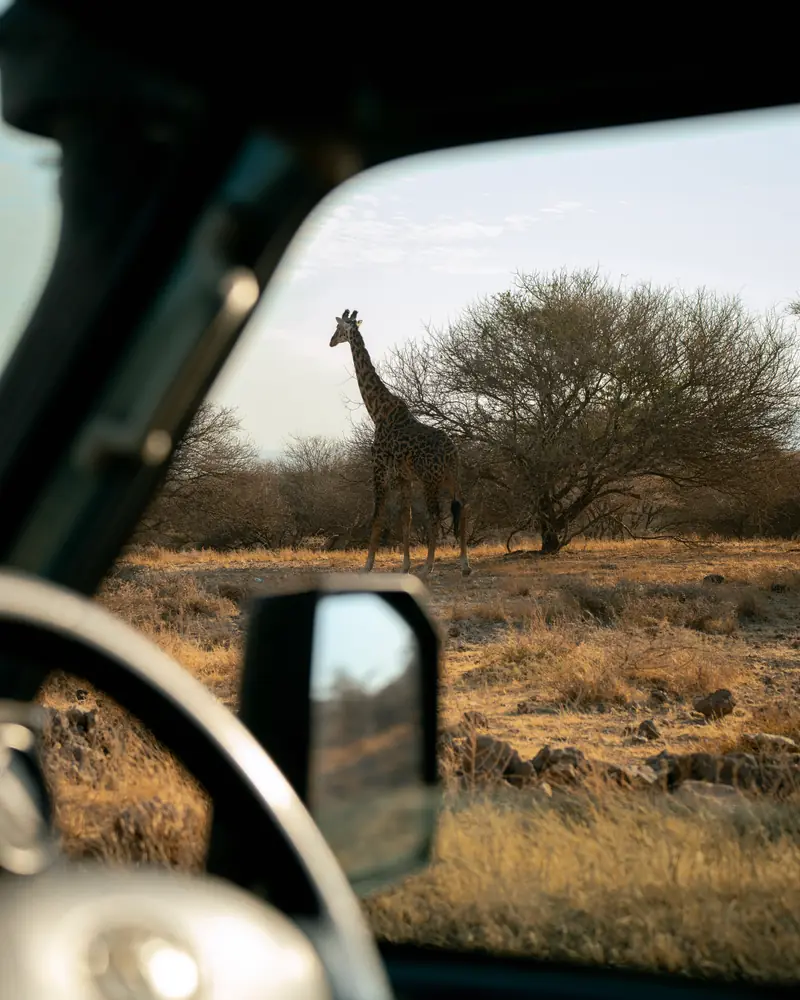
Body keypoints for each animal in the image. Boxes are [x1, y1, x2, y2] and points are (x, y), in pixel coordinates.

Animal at [330, 308, 471, 578]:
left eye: (339, 329)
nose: (330, 342)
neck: (378, 411)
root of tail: (452, 452)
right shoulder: (404, 477)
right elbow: (405, 519)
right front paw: (405, 566)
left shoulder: (379, 469)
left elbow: (377, 516)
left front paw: (367, 565)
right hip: (452, 477)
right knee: (462, 508)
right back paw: (465, 566)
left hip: (430, 480)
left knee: (435, 516)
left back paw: (428, 567)